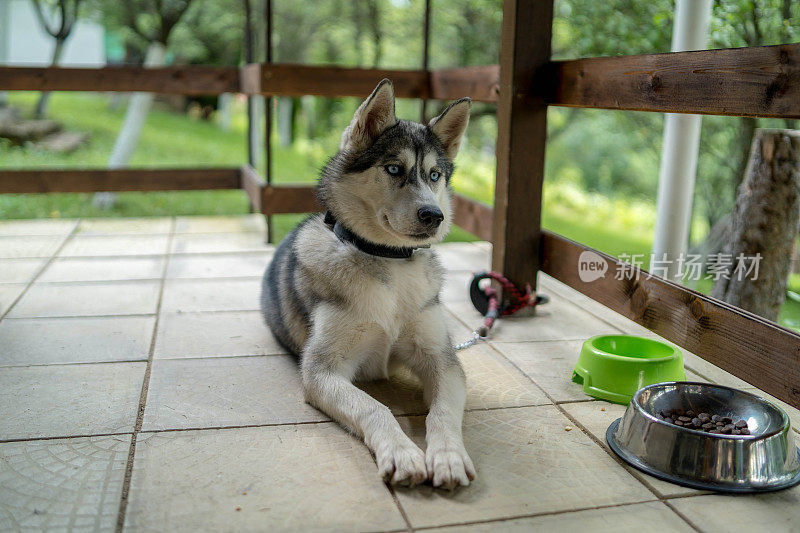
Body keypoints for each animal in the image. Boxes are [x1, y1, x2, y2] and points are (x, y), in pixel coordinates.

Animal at [262, 78, 476, 486]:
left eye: (434, 175)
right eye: (394, 168)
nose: (434, 215)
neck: (389, 261)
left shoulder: (442, 360)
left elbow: (442, 410)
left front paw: (448, 455)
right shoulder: (323, 371)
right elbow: (374, 406)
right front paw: (403, 453)